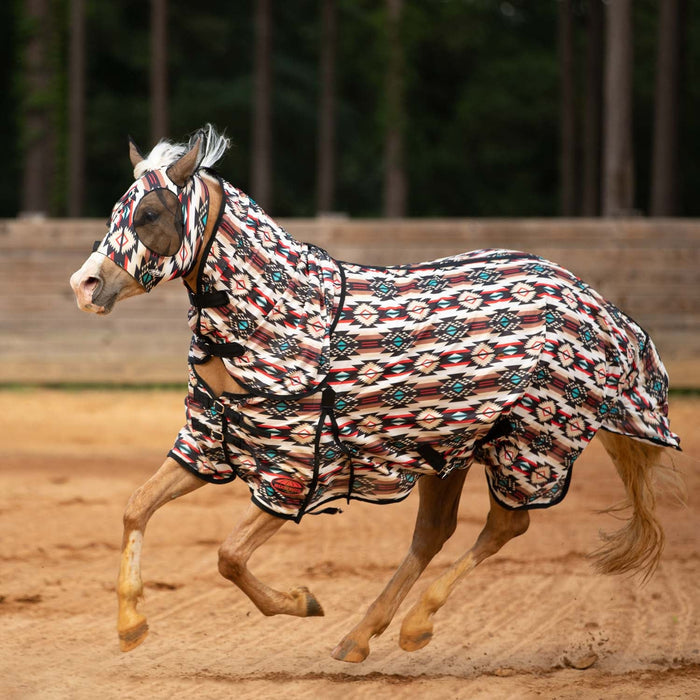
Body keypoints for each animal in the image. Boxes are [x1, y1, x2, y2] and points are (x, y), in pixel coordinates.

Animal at [70, 126, 681, 663]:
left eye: (150, 214)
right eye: (116, 211)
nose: (85, 285)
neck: (276, 321)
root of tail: (595, 301)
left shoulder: (297, 472)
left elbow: (228, 556)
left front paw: (303, 602)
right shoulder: (209, 445)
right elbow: (136, 508)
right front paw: (131, 624)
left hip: (528, 446)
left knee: (506, 526)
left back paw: (414, 626)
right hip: (448, 449)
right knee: (435, 534)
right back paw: (360, 637)